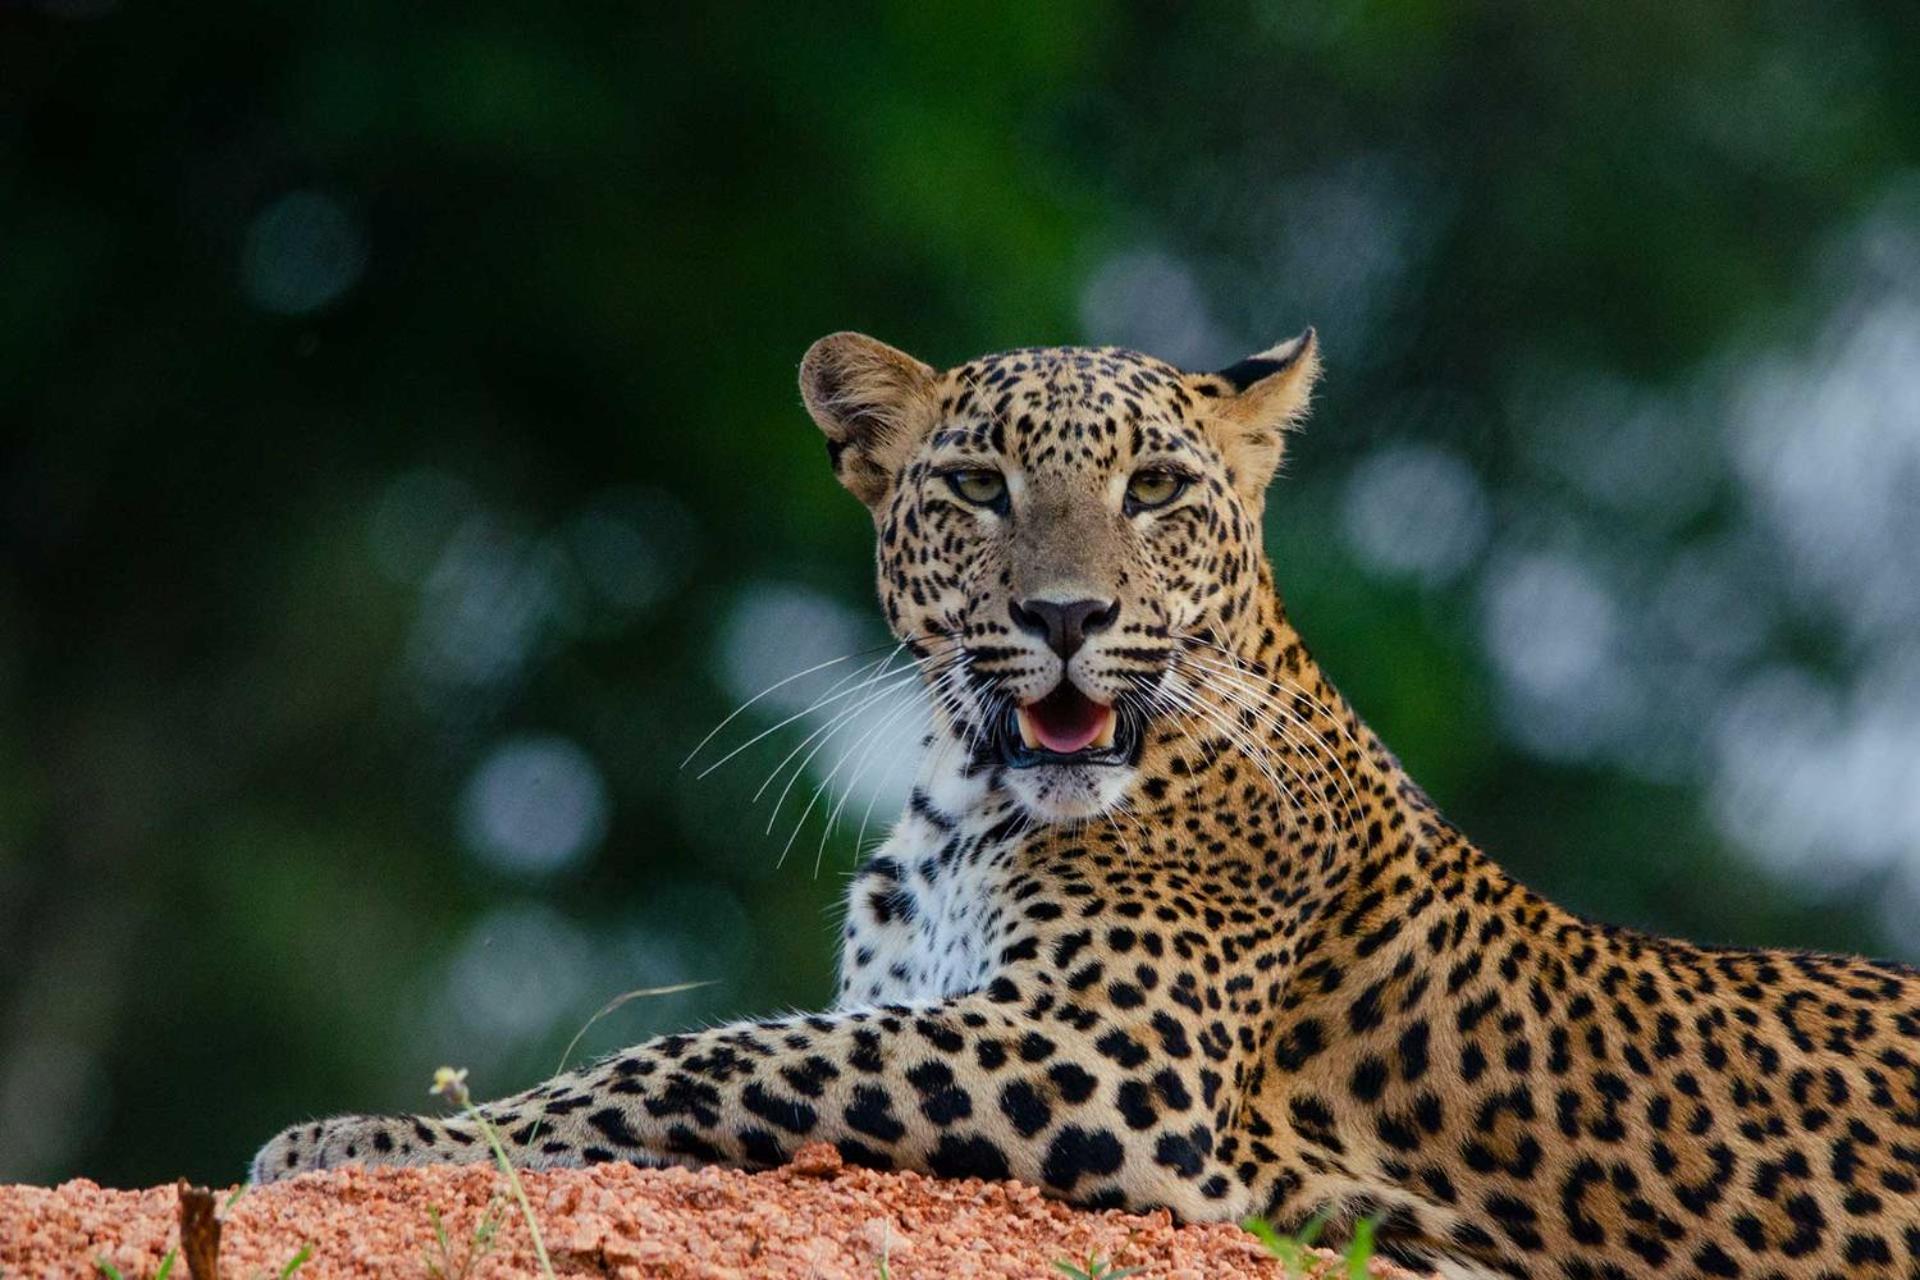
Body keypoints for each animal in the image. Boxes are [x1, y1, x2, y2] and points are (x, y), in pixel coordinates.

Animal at [254, 330, 1920, 1280]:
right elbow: (719, 1051)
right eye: (978, 485)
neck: (964, 802)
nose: (1065, 615)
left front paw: (367, 1139)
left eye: (1159, 489)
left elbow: (698, 1058)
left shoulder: (1105, 1060)